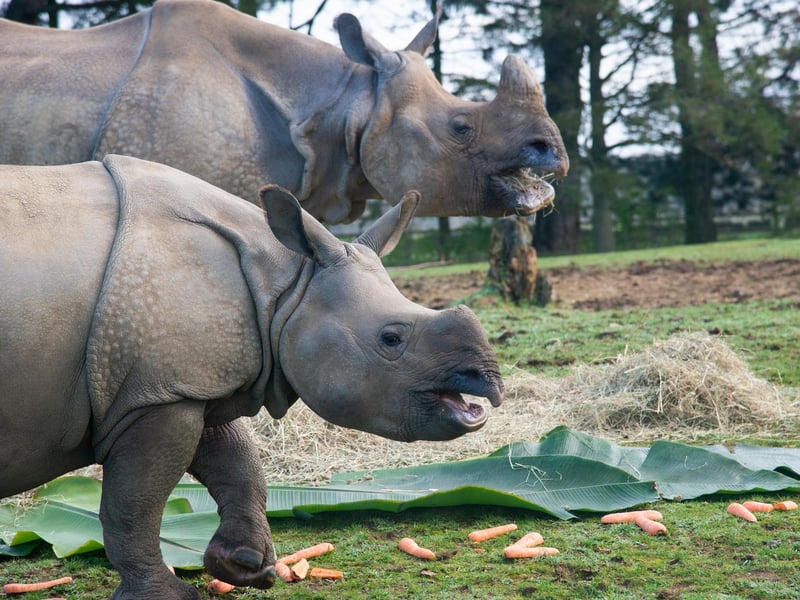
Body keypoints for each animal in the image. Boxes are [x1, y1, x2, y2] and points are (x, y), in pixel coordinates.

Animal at [0, 155, 504, 599]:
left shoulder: (186, 381)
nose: (490, 388)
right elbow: (134, 506)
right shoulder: (155, 394)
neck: (284, 284)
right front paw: (166, 595)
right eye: (391, 338)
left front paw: (244, 566)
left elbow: (239, 464)